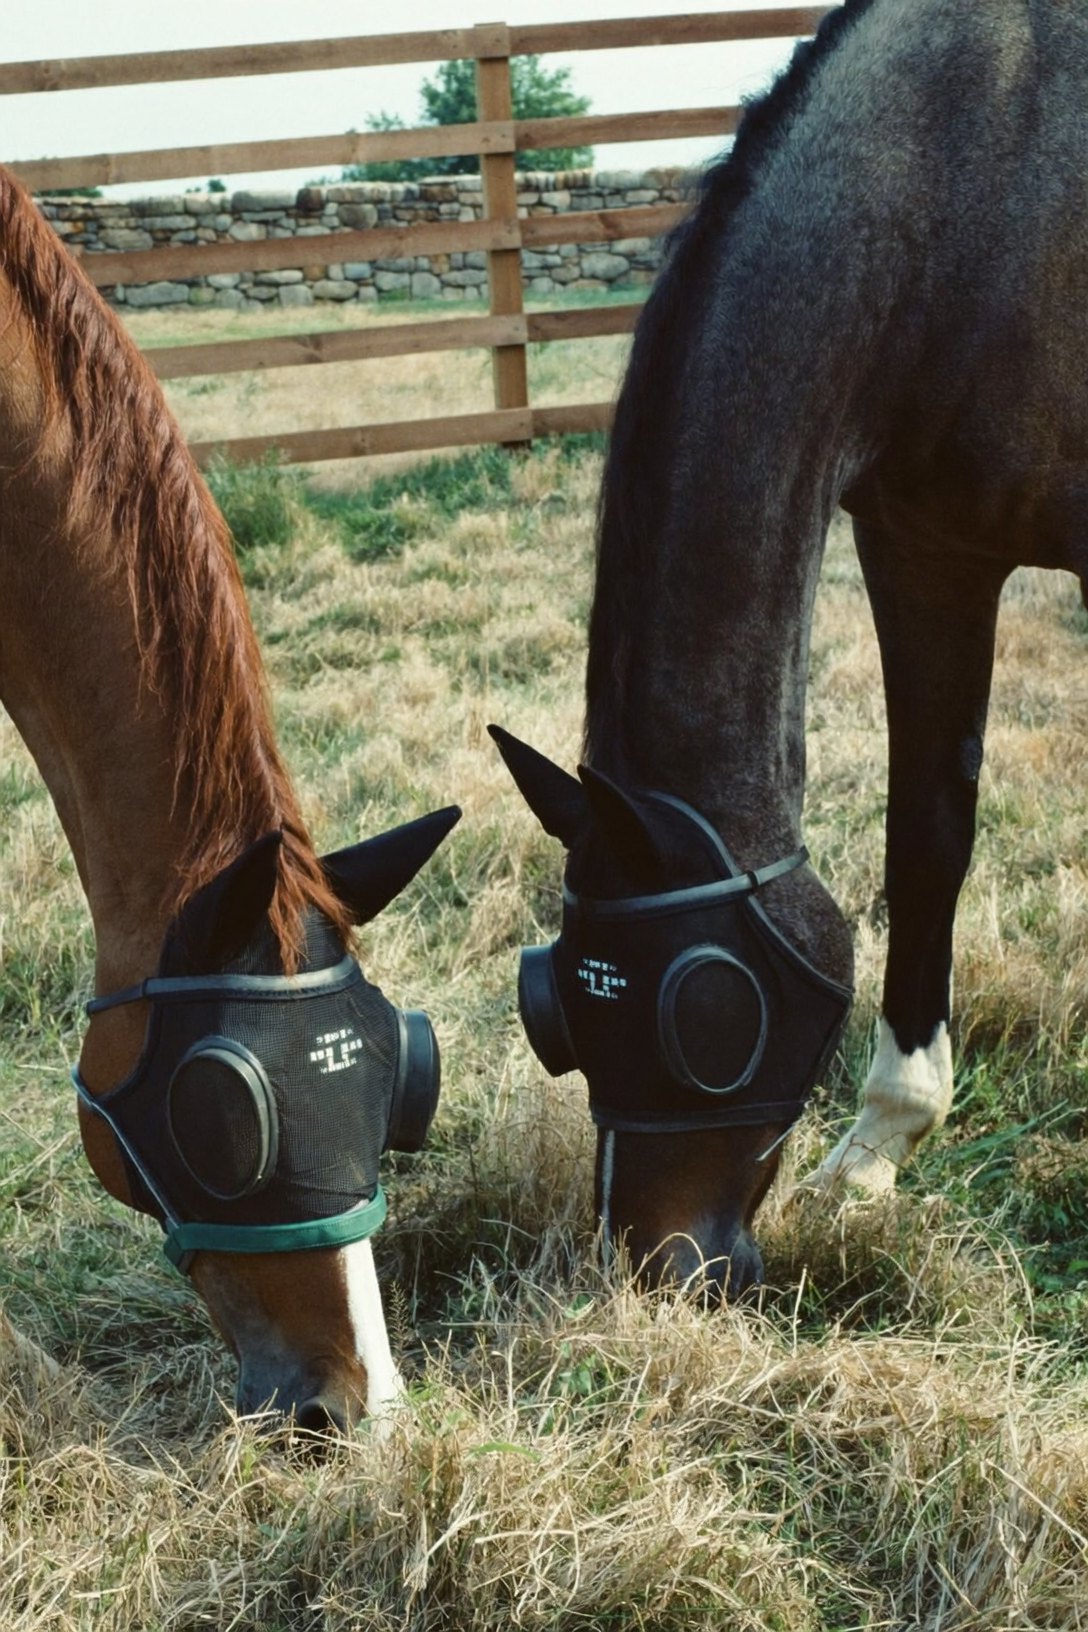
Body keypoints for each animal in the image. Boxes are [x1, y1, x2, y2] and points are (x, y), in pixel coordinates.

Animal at [493, 0, 1088, 1296]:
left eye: (703, 1011)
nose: (651, 1273)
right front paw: (877, 1149)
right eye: (562, 1008)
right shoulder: (924, 549)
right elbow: (927, 837)